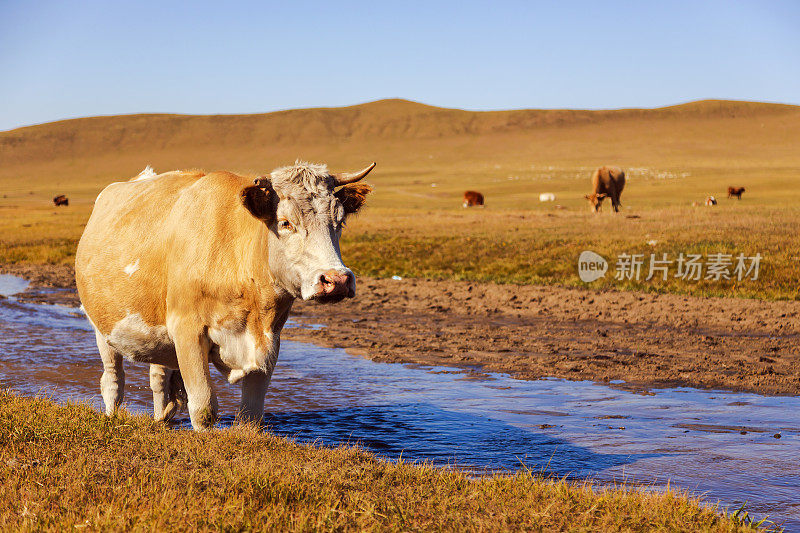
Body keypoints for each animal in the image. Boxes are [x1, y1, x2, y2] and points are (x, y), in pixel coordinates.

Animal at [76, 160, 376, 430]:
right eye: (285, 223)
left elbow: (251, 414)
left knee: (159, 380)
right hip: (101, 327)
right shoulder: (187, 331)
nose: (336, 280)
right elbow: (203, 406)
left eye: (340, 222)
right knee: (113, 380)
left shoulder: (270, 341)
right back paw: (112, 415)